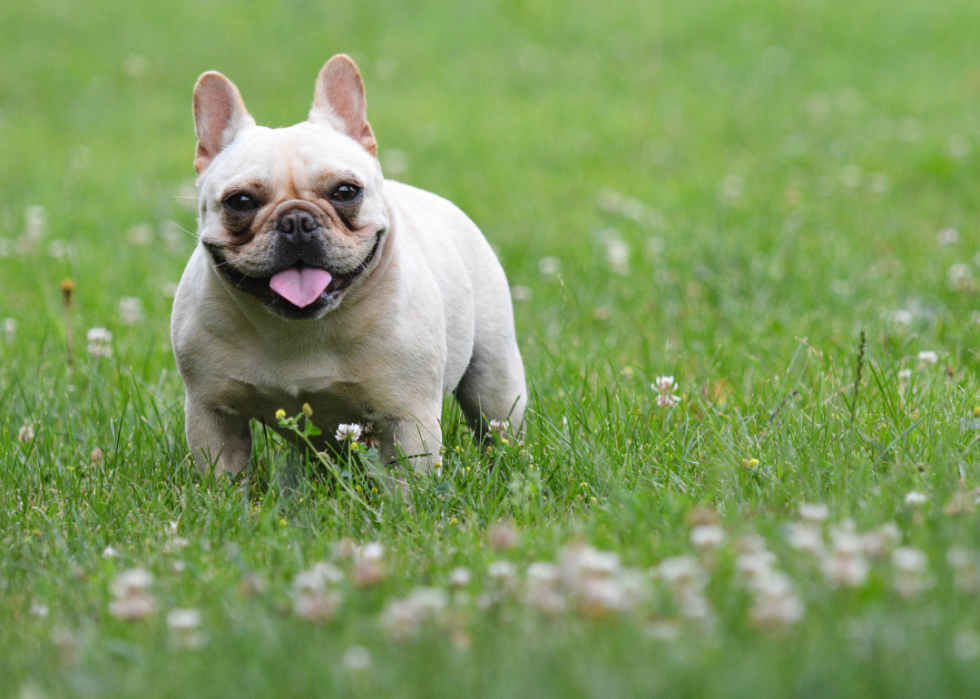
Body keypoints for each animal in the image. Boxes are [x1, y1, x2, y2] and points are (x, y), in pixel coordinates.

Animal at [172, 54, 532, 484]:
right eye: (240, 201)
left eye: (346, 192)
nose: (296, 221)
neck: (299, 331)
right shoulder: (212, 413)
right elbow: (224, 477)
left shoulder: (408, 417)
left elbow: (410, 482)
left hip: (495, 377)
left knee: (496, 423)